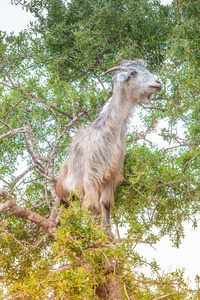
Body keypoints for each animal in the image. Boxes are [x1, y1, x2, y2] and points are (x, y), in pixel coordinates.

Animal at [56, 59, 162, 239]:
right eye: (133, 73)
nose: (158, 82)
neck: (109, 132)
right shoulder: (91, 177)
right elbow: (92, 207)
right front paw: (96, 234)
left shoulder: (110, 176)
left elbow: (104, 204)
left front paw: (108, 235)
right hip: (65, 197)